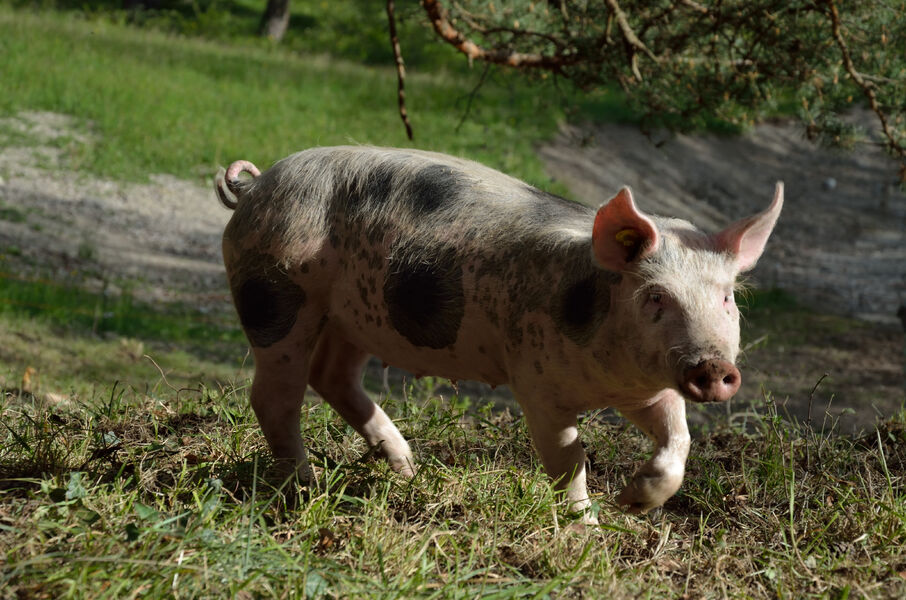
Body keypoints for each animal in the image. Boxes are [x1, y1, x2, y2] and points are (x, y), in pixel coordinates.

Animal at [215, 147, 782, 520]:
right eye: (656, 297)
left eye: (726, 297)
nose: (715, 367)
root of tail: (254, 186)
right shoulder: (535, 383)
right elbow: (568, 458)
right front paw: (587, 529)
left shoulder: (649, 387)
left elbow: (678, 441)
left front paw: (631, 503)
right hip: (274, 293)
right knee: (275, 396)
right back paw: (304, 489)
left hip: (351, 319)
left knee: (332, 377)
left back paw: (407, 469)